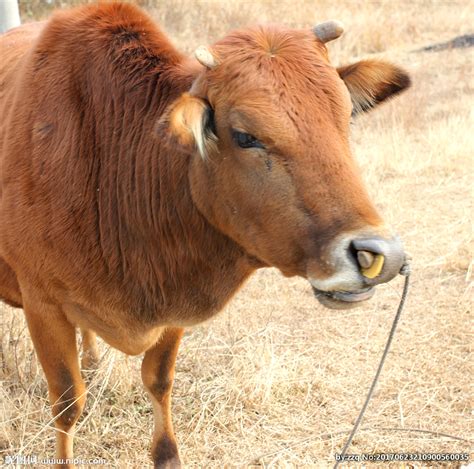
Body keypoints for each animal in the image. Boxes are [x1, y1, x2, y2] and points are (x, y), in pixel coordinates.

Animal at [0, 2, 410, 464]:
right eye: (246, 136)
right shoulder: (43, 305)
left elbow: (158, 380)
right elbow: (68, 403)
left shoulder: (173, 300)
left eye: (344, 119)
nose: (379, 254)